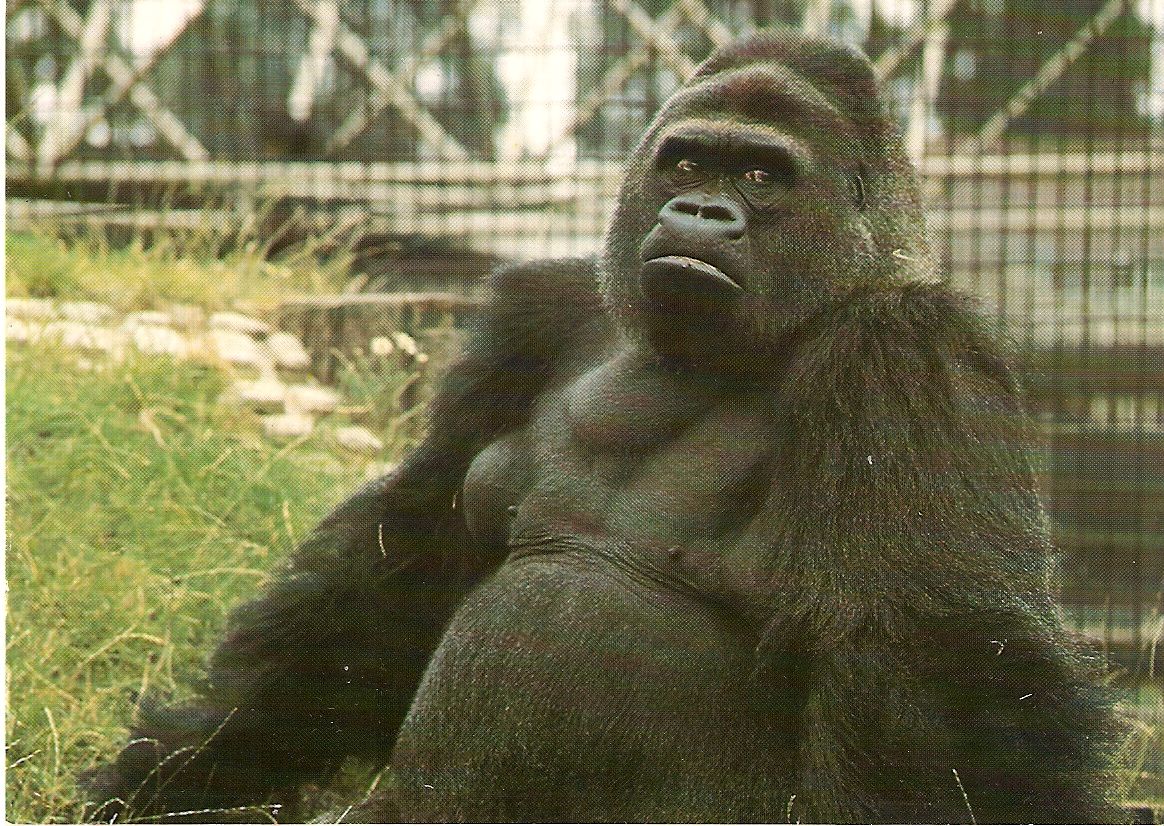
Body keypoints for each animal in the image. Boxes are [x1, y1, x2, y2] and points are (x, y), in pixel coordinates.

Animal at [83, 29, 1121, 823]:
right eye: (687, 161)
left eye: (761, 173)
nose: (700, 210)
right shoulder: (536, 313)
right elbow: (407, 556)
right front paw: (201, 757)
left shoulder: (913, 354)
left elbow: (942, 660)